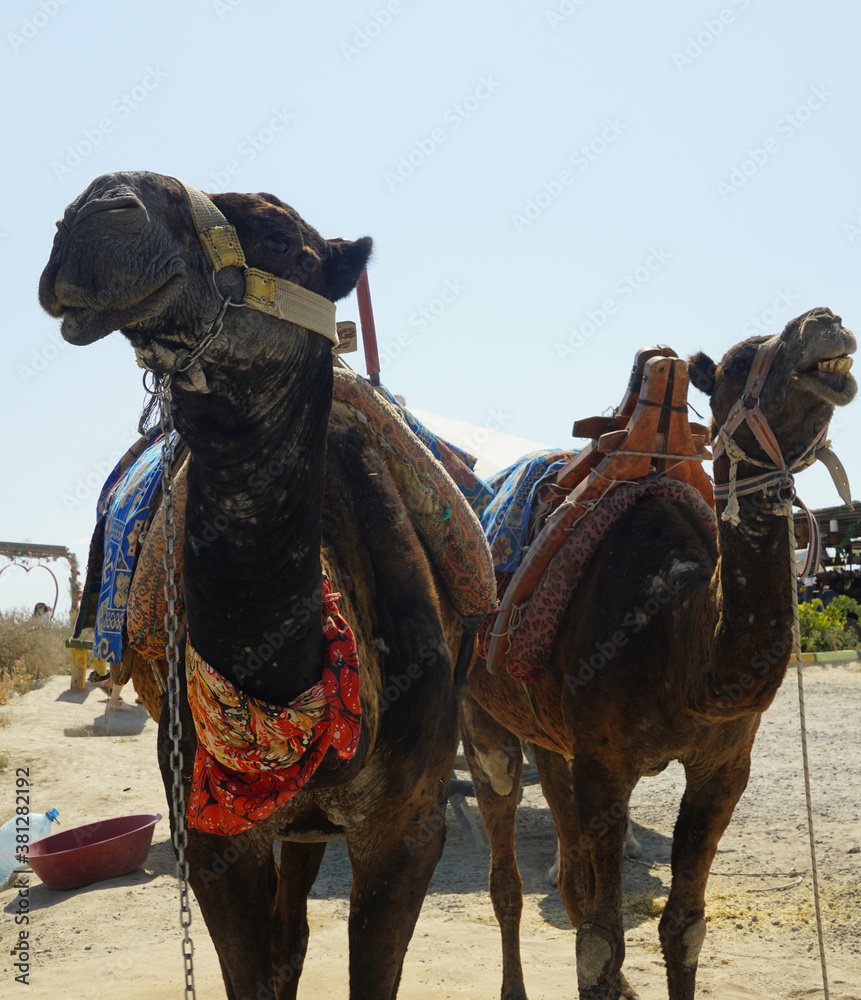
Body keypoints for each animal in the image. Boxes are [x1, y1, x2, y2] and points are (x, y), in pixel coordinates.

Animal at [39, 170, 493, 1000]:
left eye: (285, 240)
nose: (98, 208)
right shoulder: (212, 833)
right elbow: (253, 964)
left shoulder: (408, 829)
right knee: (290, 933)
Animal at [460, 308, 856, 1000]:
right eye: (739, 361)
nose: (825, 321)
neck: (679, 641)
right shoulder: (604, 763)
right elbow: (599, 942)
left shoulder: (724, 767)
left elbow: (684, 927)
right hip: (482, 718)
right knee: (506, 866)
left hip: (550, 734)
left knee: (565, 861)